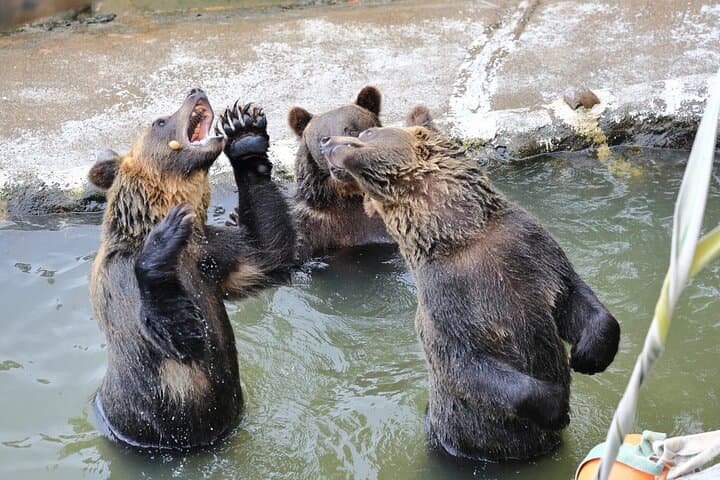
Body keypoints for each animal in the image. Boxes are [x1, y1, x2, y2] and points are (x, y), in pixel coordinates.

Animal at [88, 88, 296, 449]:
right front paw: (162, 241)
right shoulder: (122, 282)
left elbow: (265, 253)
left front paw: (244, 133)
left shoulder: (211, 255)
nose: (194, 90)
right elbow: (176, 335)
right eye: (160, 121)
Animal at [318, 106, 620, 461]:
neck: (463, 234)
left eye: (366, 133)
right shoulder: (447, 299)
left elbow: (571, 295)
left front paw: (588, 355)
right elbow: (466, 365)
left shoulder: (529, 249)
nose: (326, 143)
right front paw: (557, 406)